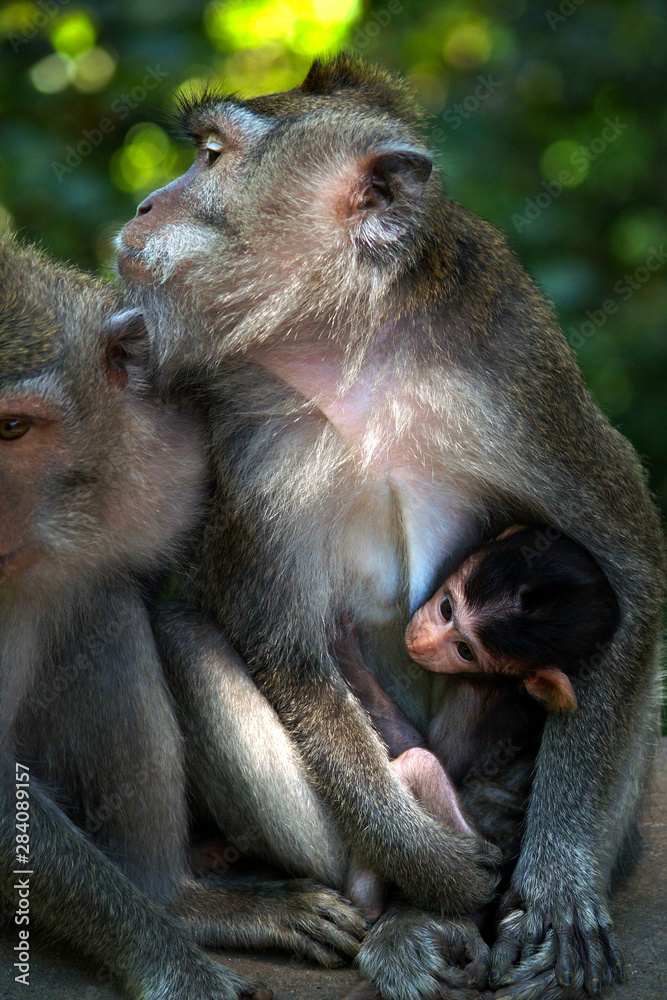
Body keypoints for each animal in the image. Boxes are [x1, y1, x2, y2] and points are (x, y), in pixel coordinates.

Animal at [342, 528, 624, 916]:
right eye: (446, 609)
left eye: (465, 651)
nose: (421, 641)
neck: (503, 685)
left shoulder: (474, 695)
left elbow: (434, 753)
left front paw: (344, 653)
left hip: (480, 854)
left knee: (421, 763)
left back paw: (367, 903)